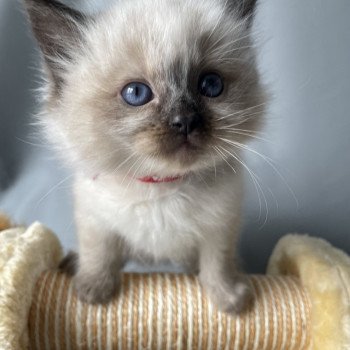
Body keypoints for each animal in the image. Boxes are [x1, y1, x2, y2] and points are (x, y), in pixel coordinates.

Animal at [24, 0, 266, 314]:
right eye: (136, 93)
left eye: (211, 85)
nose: (185, 121)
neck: (160, 187)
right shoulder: (95, 221)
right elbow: (98, 255)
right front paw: (92, 292)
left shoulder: (220, 227)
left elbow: (218, 263)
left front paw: (229, 299)